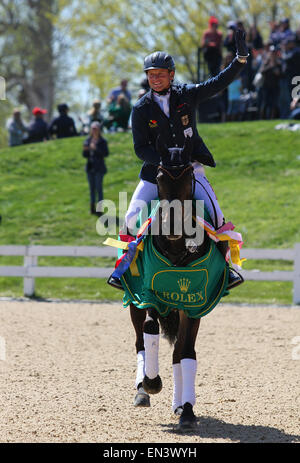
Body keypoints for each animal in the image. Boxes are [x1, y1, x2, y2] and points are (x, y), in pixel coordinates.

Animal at [124, 138, 230, 432]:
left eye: (188, 175)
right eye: (160, 176)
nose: (171, 225)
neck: (176, 248)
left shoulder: (195, 305)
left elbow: (185, 354)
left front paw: (188, 410)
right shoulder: (147, 295)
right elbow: (150, 330)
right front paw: (151, 383)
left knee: (176, 354)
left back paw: (179, 405)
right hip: (133, 300)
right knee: (140, 341)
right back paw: (142, 389)